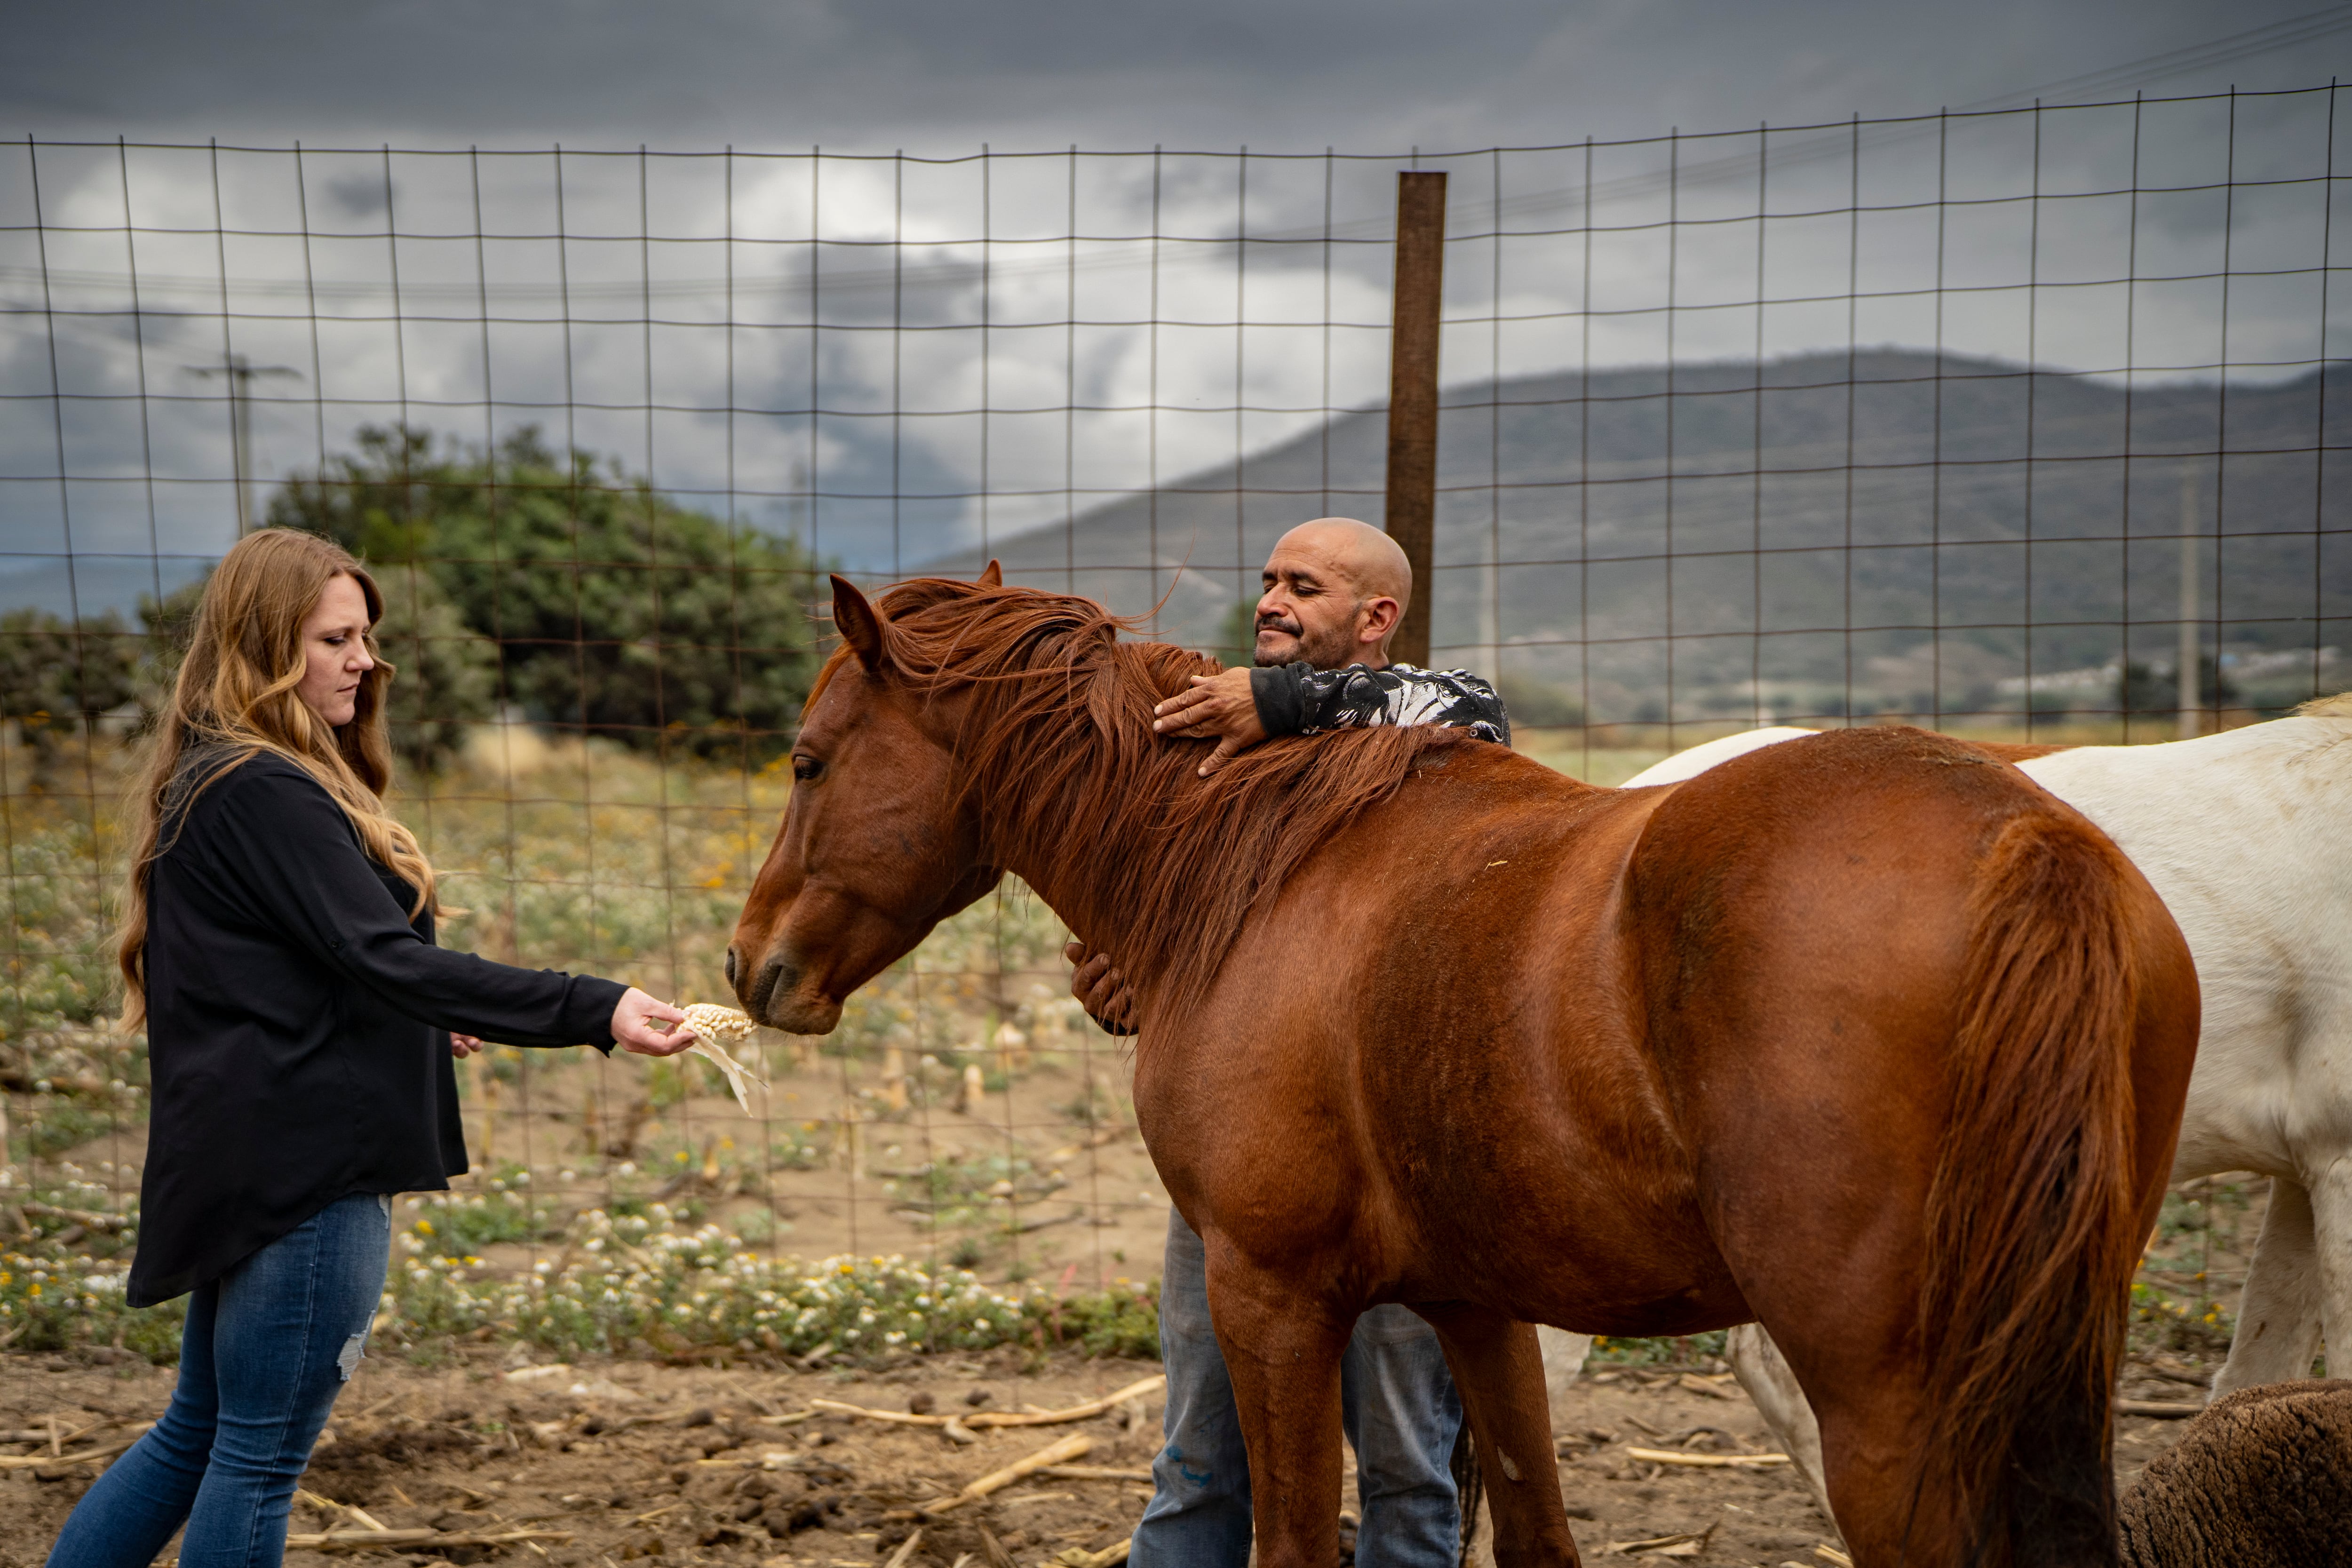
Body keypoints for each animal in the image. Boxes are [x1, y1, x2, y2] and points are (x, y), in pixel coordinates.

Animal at [727, 571, 2200, 1568]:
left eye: (806, 761)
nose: (752, 967)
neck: (1258, 868)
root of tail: (2022, 835)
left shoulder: (1269, 1295)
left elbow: (1292, 1542)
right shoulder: (1477, 1306)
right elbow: (1536, 1528)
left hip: (1886, 1402)